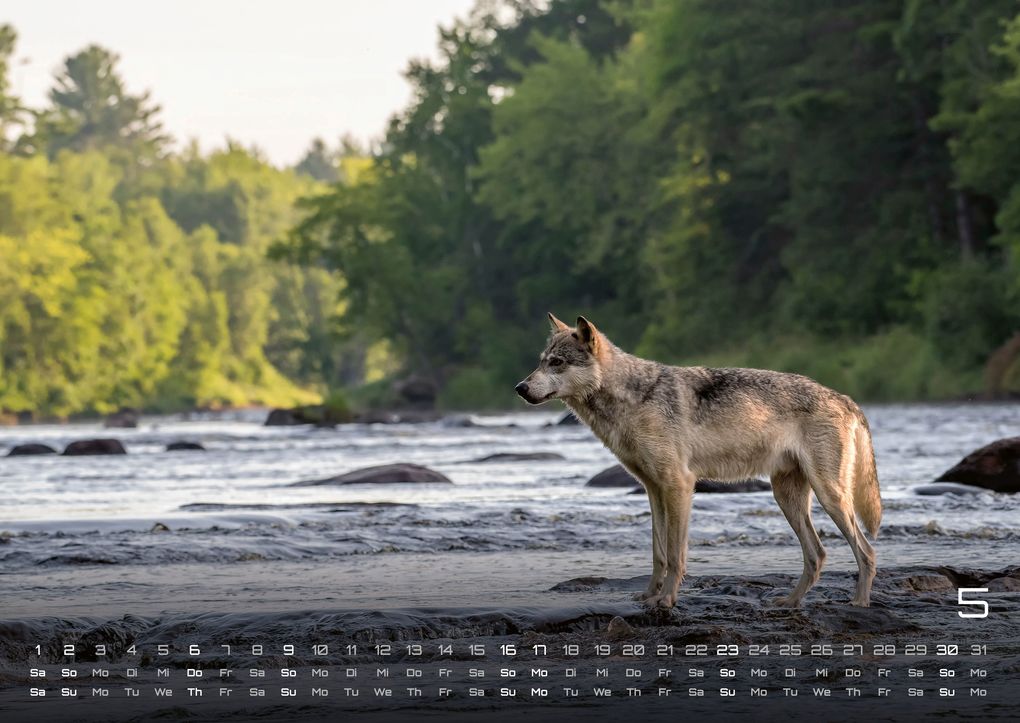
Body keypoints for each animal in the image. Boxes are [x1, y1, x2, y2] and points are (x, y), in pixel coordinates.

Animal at [516, 313, 881, 610]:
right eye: (542, 362)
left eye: (557, 363)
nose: (520, 387)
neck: (634, 397)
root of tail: (844, 398)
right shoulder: (654, 491)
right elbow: (659, 554)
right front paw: (649, 596)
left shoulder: (678, 485)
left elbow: (676, 555)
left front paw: (666, 600)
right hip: (787, 498)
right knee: (817, 555)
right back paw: (790, 602)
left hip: (829, 497)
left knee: (866, 551)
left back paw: (859, 603)